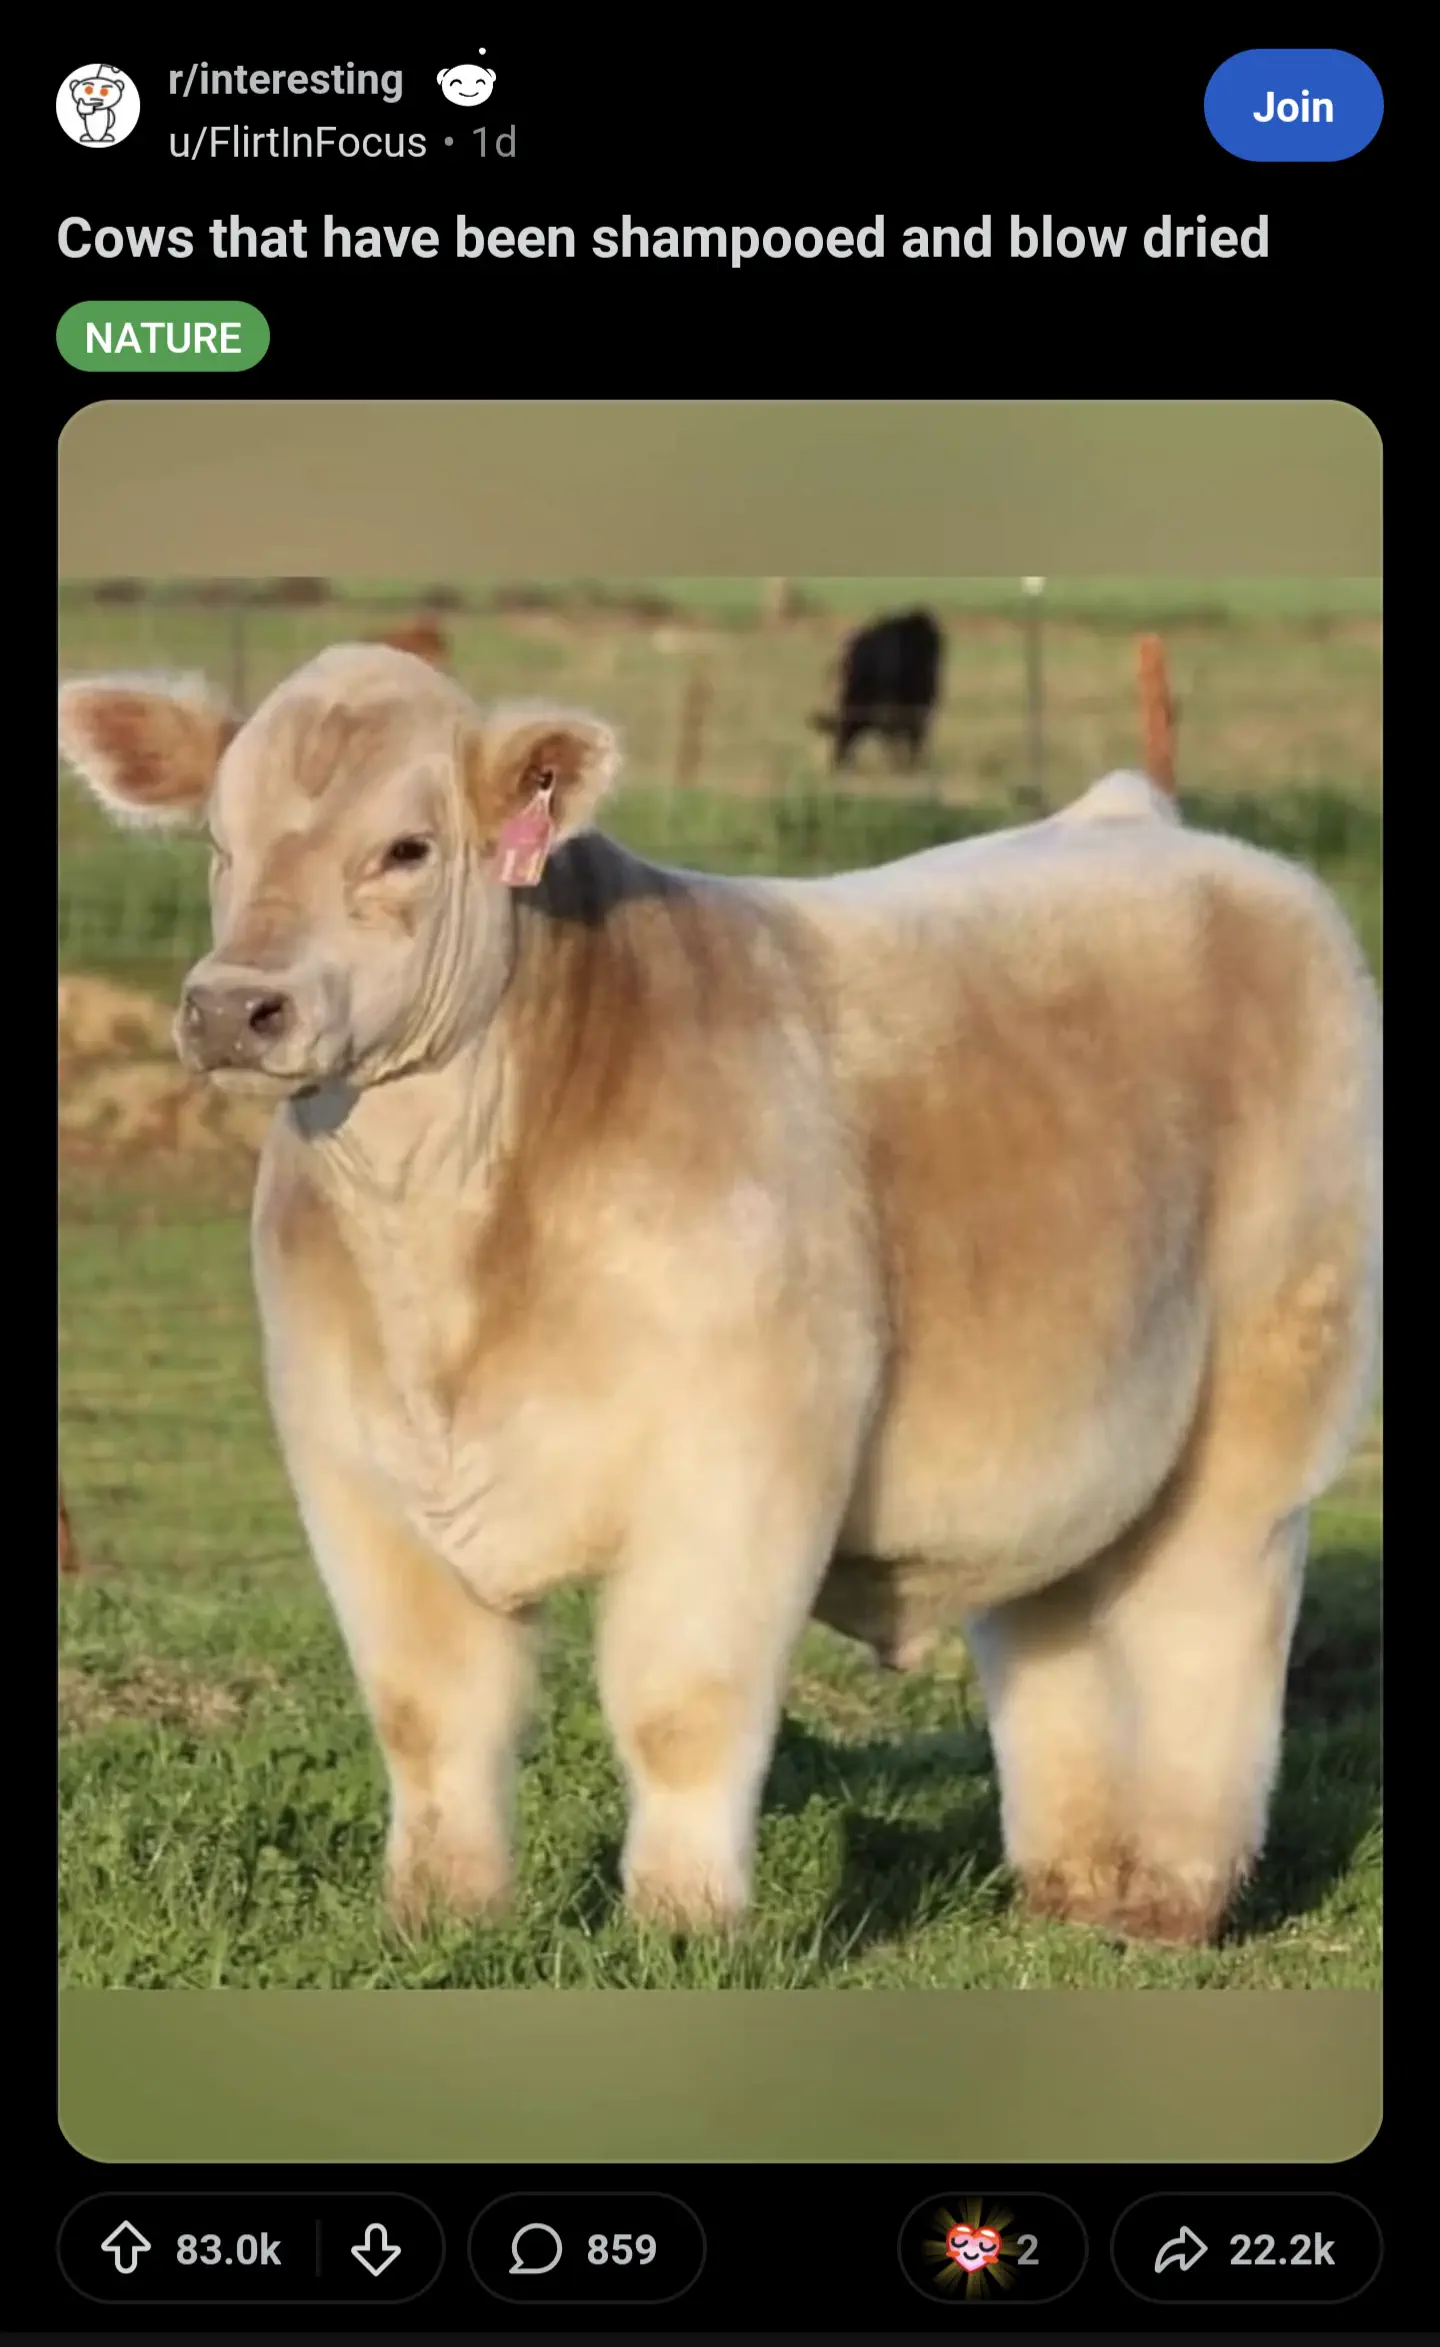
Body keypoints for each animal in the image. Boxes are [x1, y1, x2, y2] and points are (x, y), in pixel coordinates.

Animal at [57, 645, 1381, 1951]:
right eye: (219, 841)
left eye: (406, 847)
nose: (233, 1005)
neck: (446, 1253)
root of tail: (1149, 823)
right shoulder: (354, 1473)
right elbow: (429, 1711)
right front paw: (439, 1922)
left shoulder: (737, 1462)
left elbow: (681, 1705)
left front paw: (683, 1926)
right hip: (1062, 1434)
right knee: (1051, 1621)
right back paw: (1072, 1888)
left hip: (1263, 1399)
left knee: (1210, 1616)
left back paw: (1175, 1898)